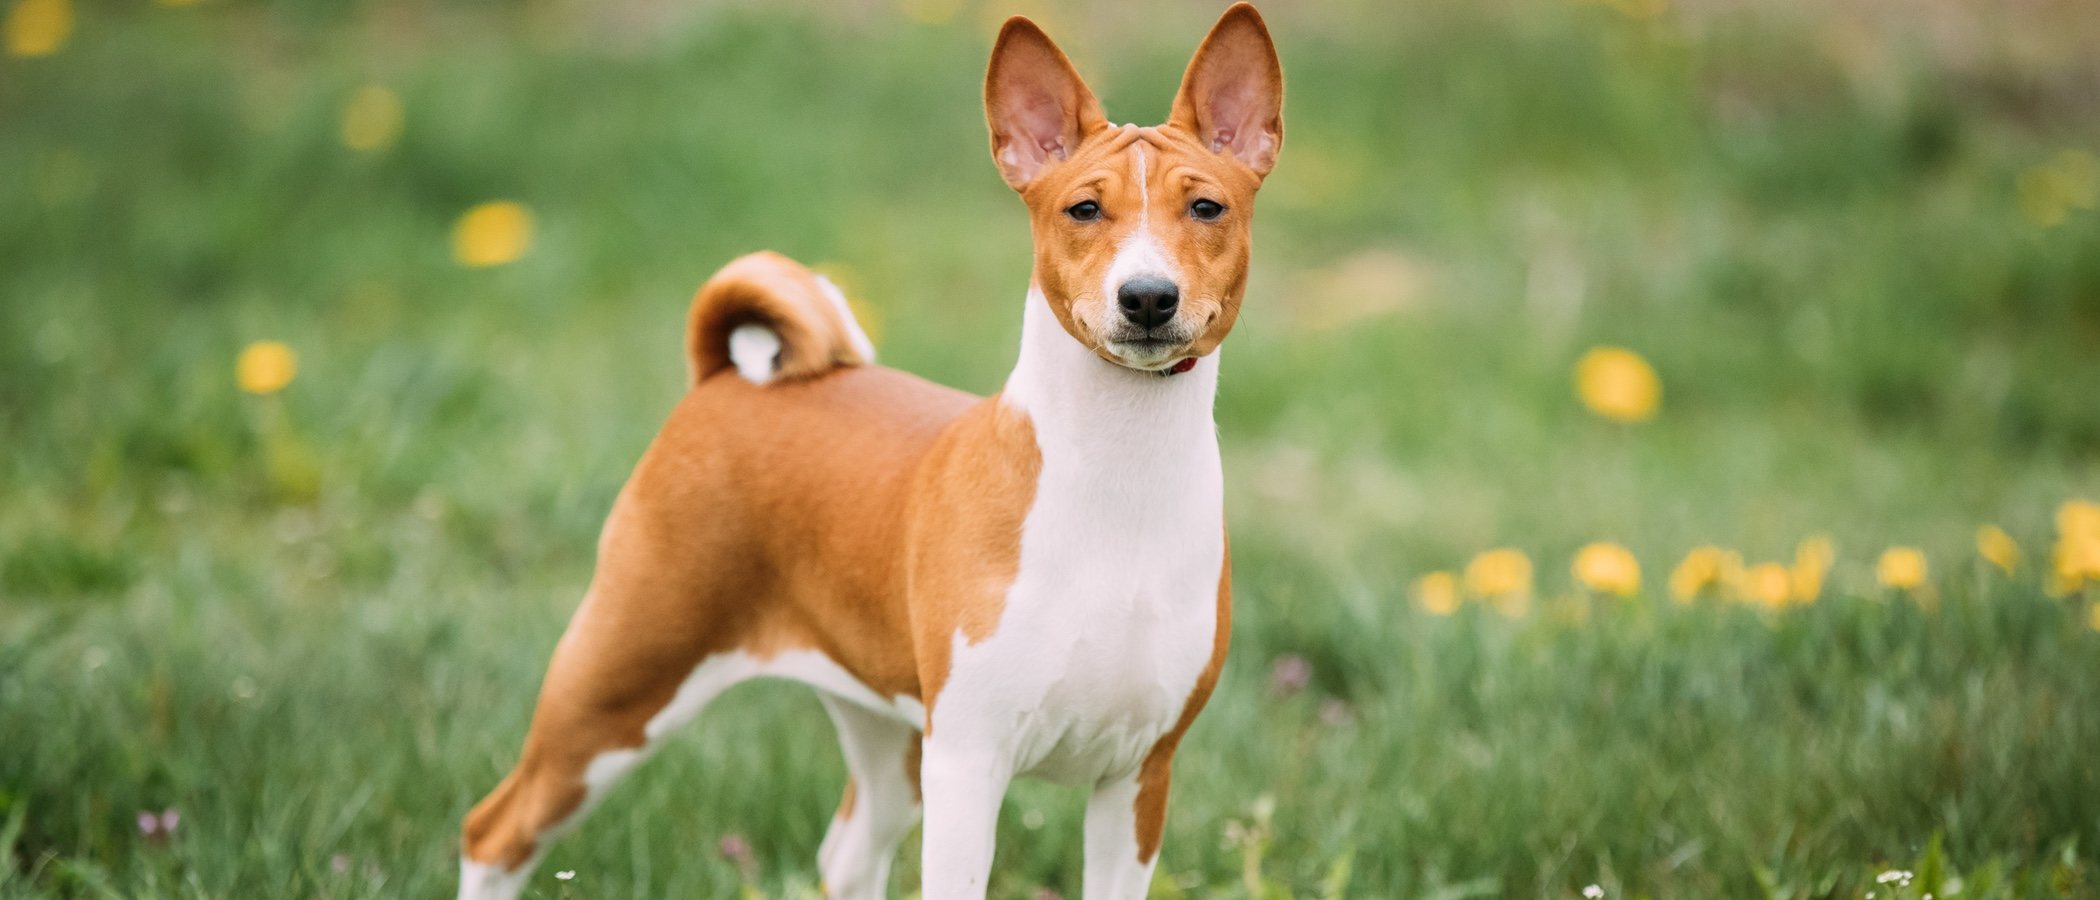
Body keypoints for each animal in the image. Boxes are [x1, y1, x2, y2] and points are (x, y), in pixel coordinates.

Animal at [459, 5, 1276, 889]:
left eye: (1207, 209)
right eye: (1084, 211)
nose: (1148, 297)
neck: (1116, 483)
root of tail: (726, 380)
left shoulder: (1138, 777)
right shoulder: (968, 761)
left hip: (883, 736)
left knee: (848, 851)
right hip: (619, 687)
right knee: (494, 831)